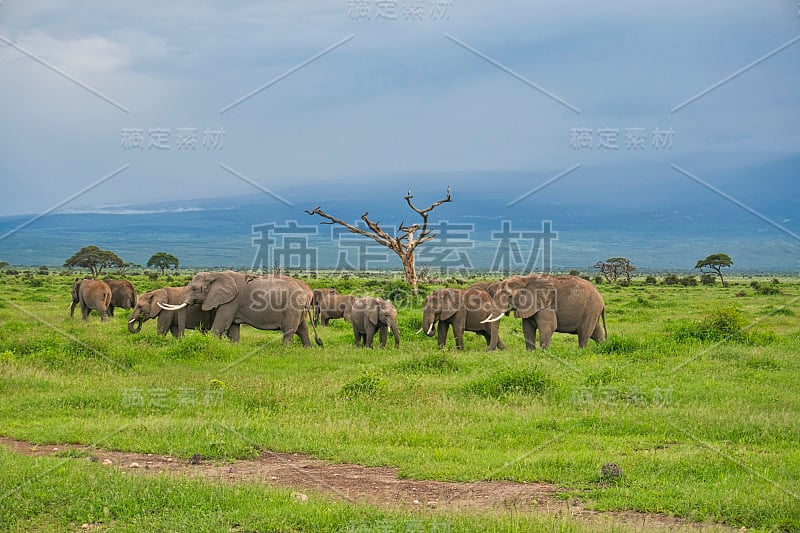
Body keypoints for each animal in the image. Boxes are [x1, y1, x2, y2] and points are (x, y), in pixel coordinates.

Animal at [159, 270, 322, 344]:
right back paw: (308, 349)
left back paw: (285, 350)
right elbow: (233, 328)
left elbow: (221, 325)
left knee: (289, 330)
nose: (181, 340)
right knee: (302, 329)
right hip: (299, 310)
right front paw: (233, 346)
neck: (216, 275)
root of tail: (307, 292)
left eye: (194, 289)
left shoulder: (231, 302)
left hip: (292, 307)